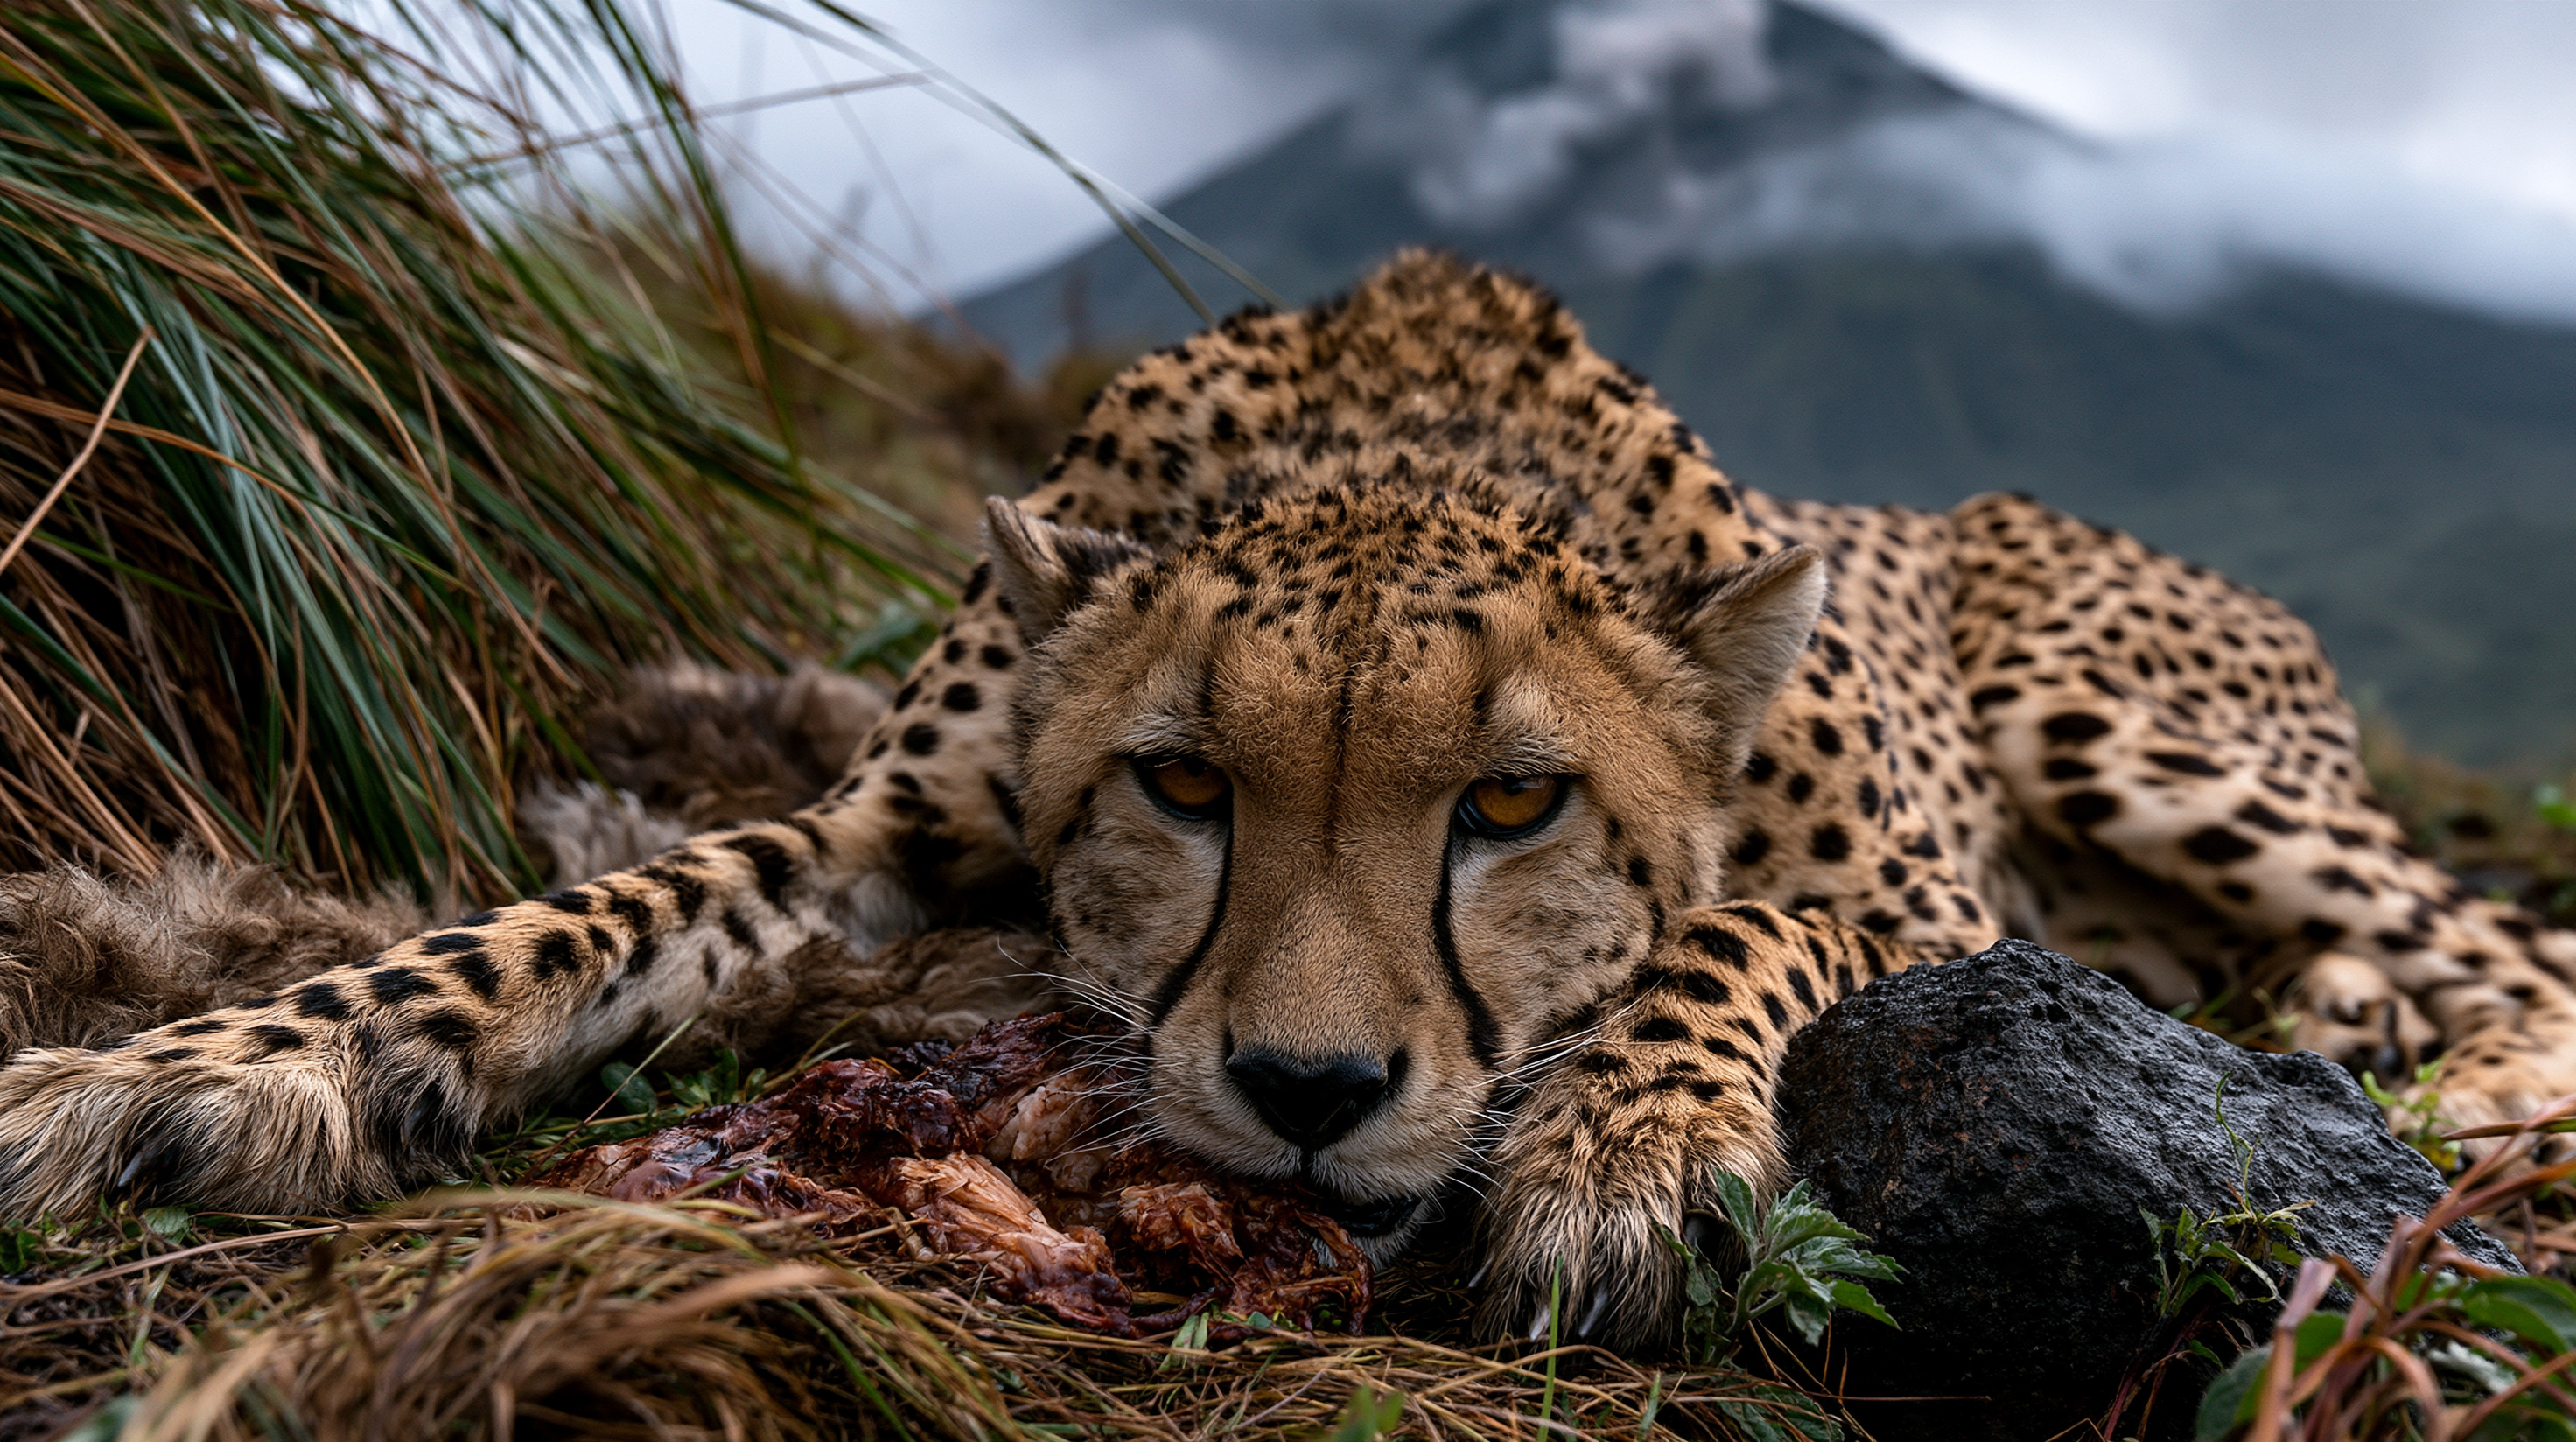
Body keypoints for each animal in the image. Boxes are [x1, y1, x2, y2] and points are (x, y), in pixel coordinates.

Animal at [5, 250, 2574, 1349]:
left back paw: (2441, 1073)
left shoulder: (1923, 892)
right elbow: (596, 906)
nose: (1313, 1094)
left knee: (2498, 947)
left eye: (1512, 808)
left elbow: (1731, 926)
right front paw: (207, 1056)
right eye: (1179, 782)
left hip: (2113, 732)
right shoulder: (880, 829)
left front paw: (1625, 1139)